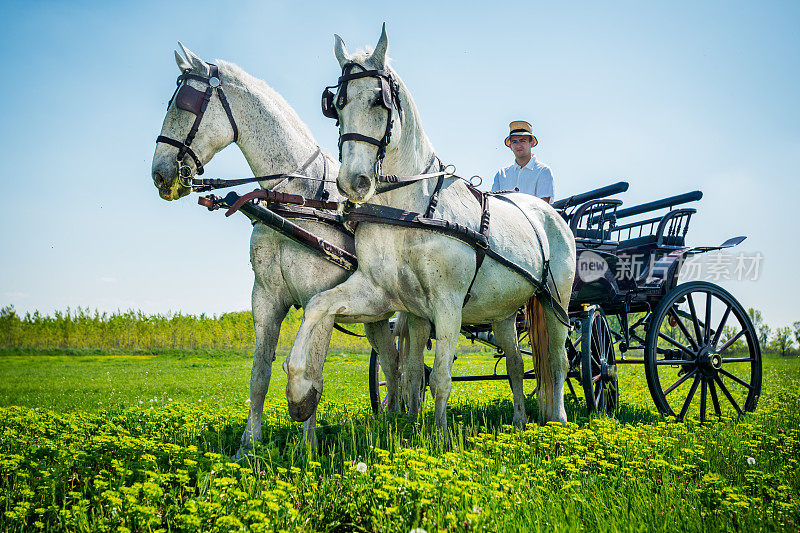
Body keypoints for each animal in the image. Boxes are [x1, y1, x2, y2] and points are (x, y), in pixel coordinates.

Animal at [150, 44, 400, 448]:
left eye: (186, 104)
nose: (160, 174)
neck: (295, 197)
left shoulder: (321, 299)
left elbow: (313, 369)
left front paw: (307, 445)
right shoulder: (266, 297)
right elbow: (259, 373)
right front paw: (249, 443)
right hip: (374, 315)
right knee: (392, 362)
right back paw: (393, 416)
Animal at [286, 27, 576, 434]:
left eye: (378, 101)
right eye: (337, 106)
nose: (352, 182)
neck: (410, 209)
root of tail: (549, 212)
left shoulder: (448, 304)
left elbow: (439, 377)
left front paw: (438, 434)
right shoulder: (383, 296)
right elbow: (322, 308)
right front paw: (300, 390)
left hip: (557, 301)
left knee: (558, 359)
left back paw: (559, 418)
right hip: (504, 311)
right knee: (517, 366)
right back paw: (519, 419)